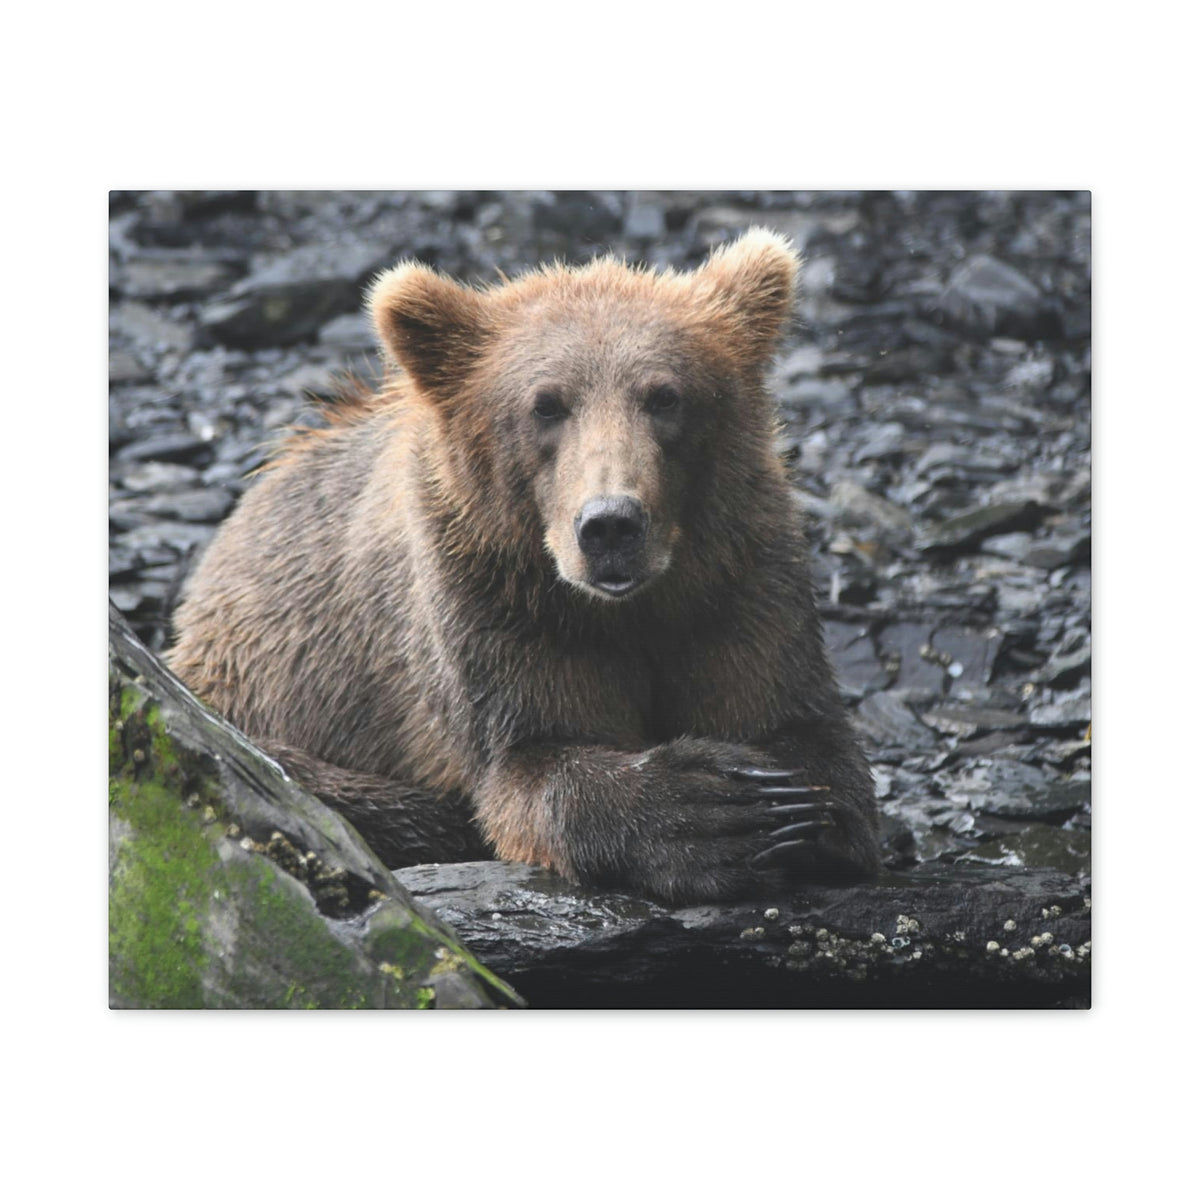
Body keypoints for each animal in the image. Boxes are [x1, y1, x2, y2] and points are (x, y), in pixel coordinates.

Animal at [168, 229, 881, 904]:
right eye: (546, 404)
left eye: (665, 397)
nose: (610, 525)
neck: (627, 607)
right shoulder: (493, 602)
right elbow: (530, 761)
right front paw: (709, 811)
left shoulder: (738, 578)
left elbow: (796, 723)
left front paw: (787, 807)